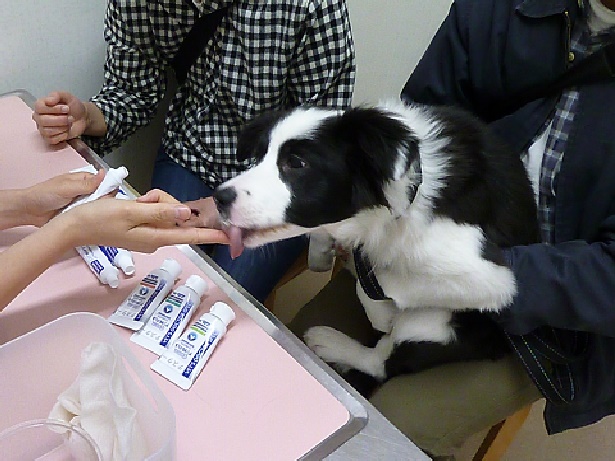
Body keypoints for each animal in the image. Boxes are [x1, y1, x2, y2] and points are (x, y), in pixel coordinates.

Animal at [213, 101, 540, 397]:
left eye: (297, 163)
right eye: (258, 158)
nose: (219, 197)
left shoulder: (495, 278)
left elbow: (383, 282)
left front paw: (381, 310)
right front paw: (324, 251)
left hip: (434, 322)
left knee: (383, 361)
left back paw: (332, 341)